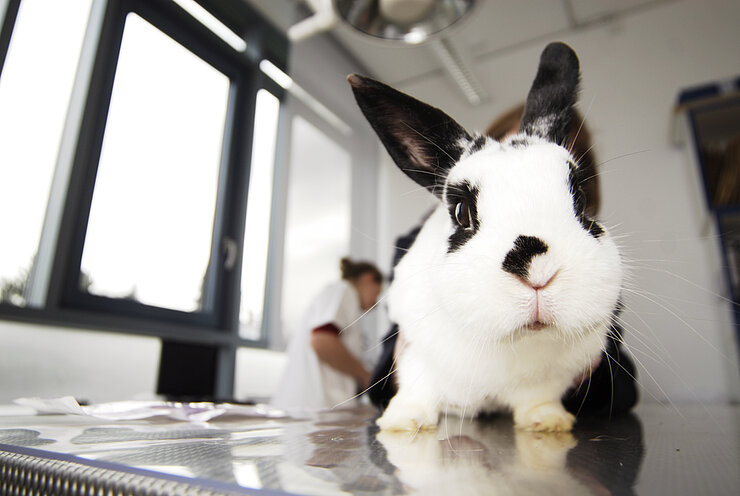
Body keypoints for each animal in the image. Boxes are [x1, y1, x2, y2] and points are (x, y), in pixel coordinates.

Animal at [350, 41, 620, 430]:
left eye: (580, 199)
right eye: (461, 211)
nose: (538, 271)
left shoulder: (550, 379)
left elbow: (539, 398)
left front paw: (548, 422)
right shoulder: (417, 353)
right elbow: (418, 389)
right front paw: (402, 422)